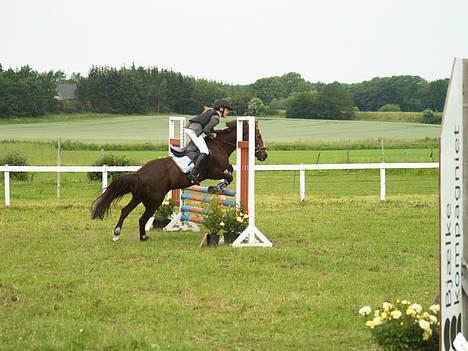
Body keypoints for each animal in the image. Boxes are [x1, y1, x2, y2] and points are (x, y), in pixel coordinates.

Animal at [90, 121, 266, 242]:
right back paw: (143, 237)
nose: (264, 155)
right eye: (258, 136)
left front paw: (217, 187)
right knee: (142, 218)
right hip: (154, 200)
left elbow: (229, 170)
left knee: (125, 211)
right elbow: (229, 176)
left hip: (139, 197)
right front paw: (216, 188)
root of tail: (140, 174)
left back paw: (117, 234)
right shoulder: (213, 172)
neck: (219, 146)